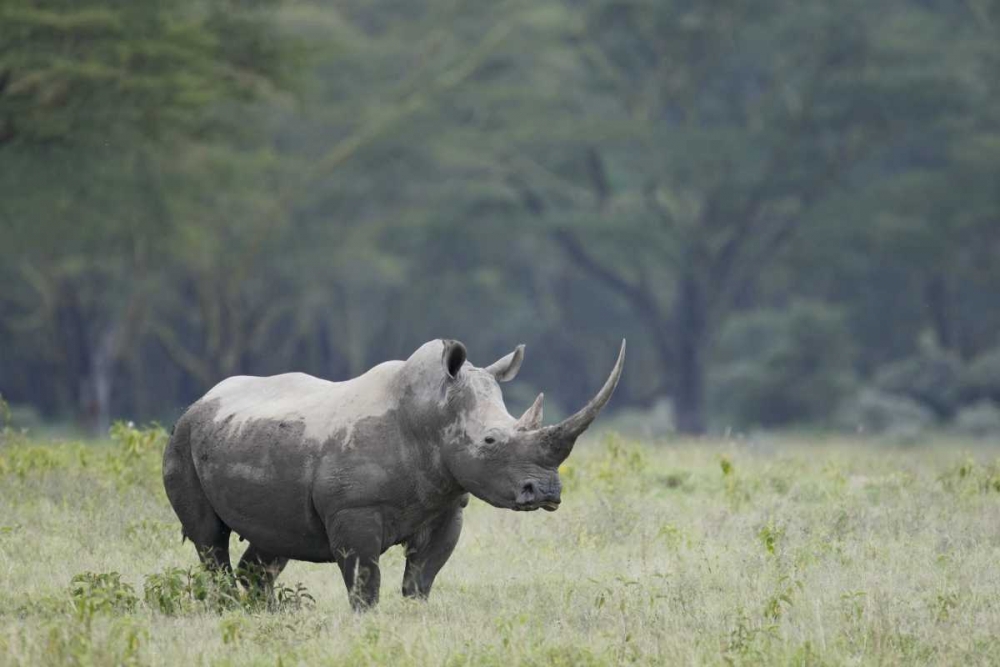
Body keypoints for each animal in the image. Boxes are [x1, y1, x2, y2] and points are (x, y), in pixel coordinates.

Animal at [163, 338, 625, 609]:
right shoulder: (354, 511)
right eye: (491, 441)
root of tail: (202, 399)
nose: (545, 492)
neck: (432, 415)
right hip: (182, 437)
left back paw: (263, 613)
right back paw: (227, 607)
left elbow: (421, 580)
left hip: (247, 436)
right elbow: (365, 581)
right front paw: (367, 627)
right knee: (209, 539)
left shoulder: (448, 504)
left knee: (272, 542)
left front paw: (413, 621)